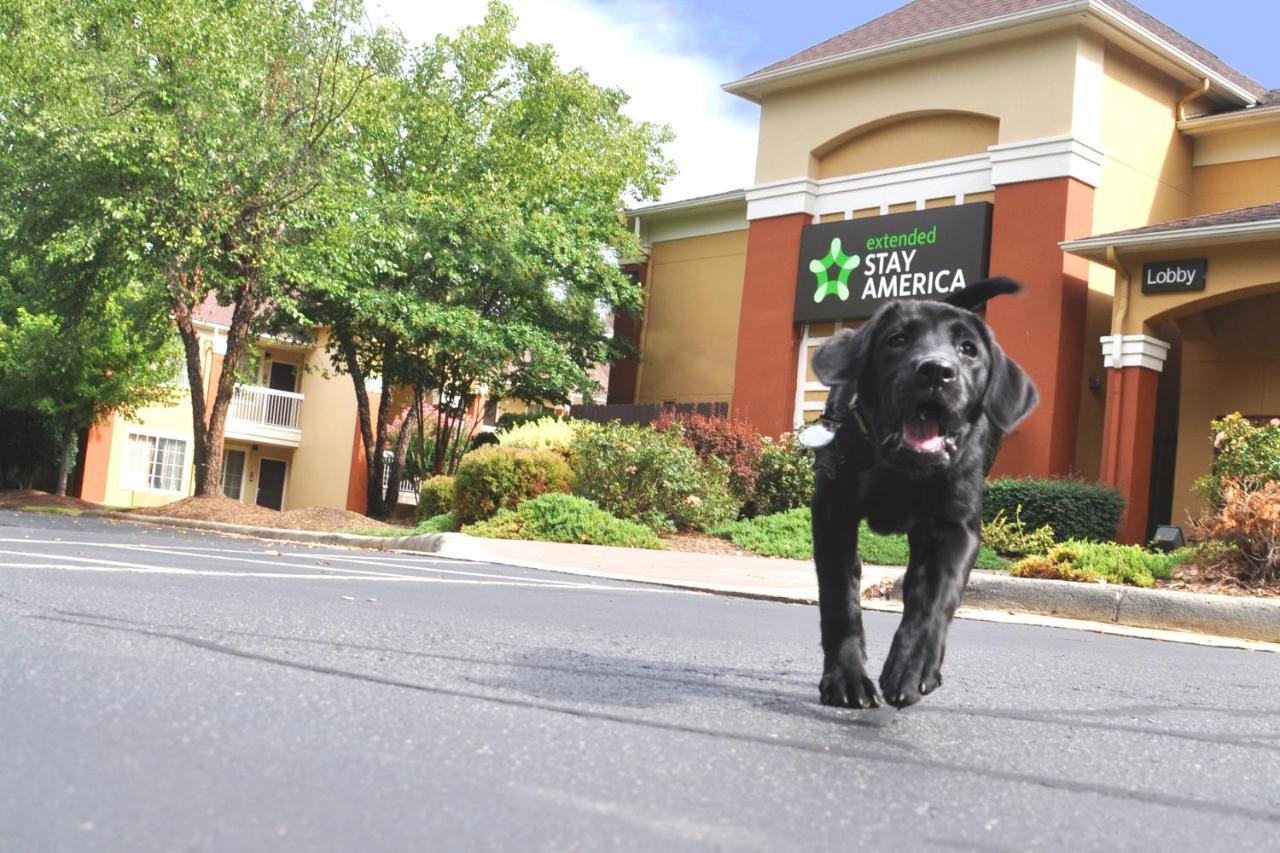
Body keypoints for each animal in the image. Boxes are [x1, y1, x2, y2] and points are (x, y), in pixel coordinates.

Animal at [808, 275, 1039, 706]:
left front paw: (912, 667)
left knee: (917, 589)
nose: (936, 370)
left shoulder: (956, 528)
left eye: (968, 349)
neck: (902, 471)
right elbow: (839, 599)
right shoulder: (832, 514)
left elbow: (935, 599)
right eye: (897, 339)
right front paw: (846, 679)